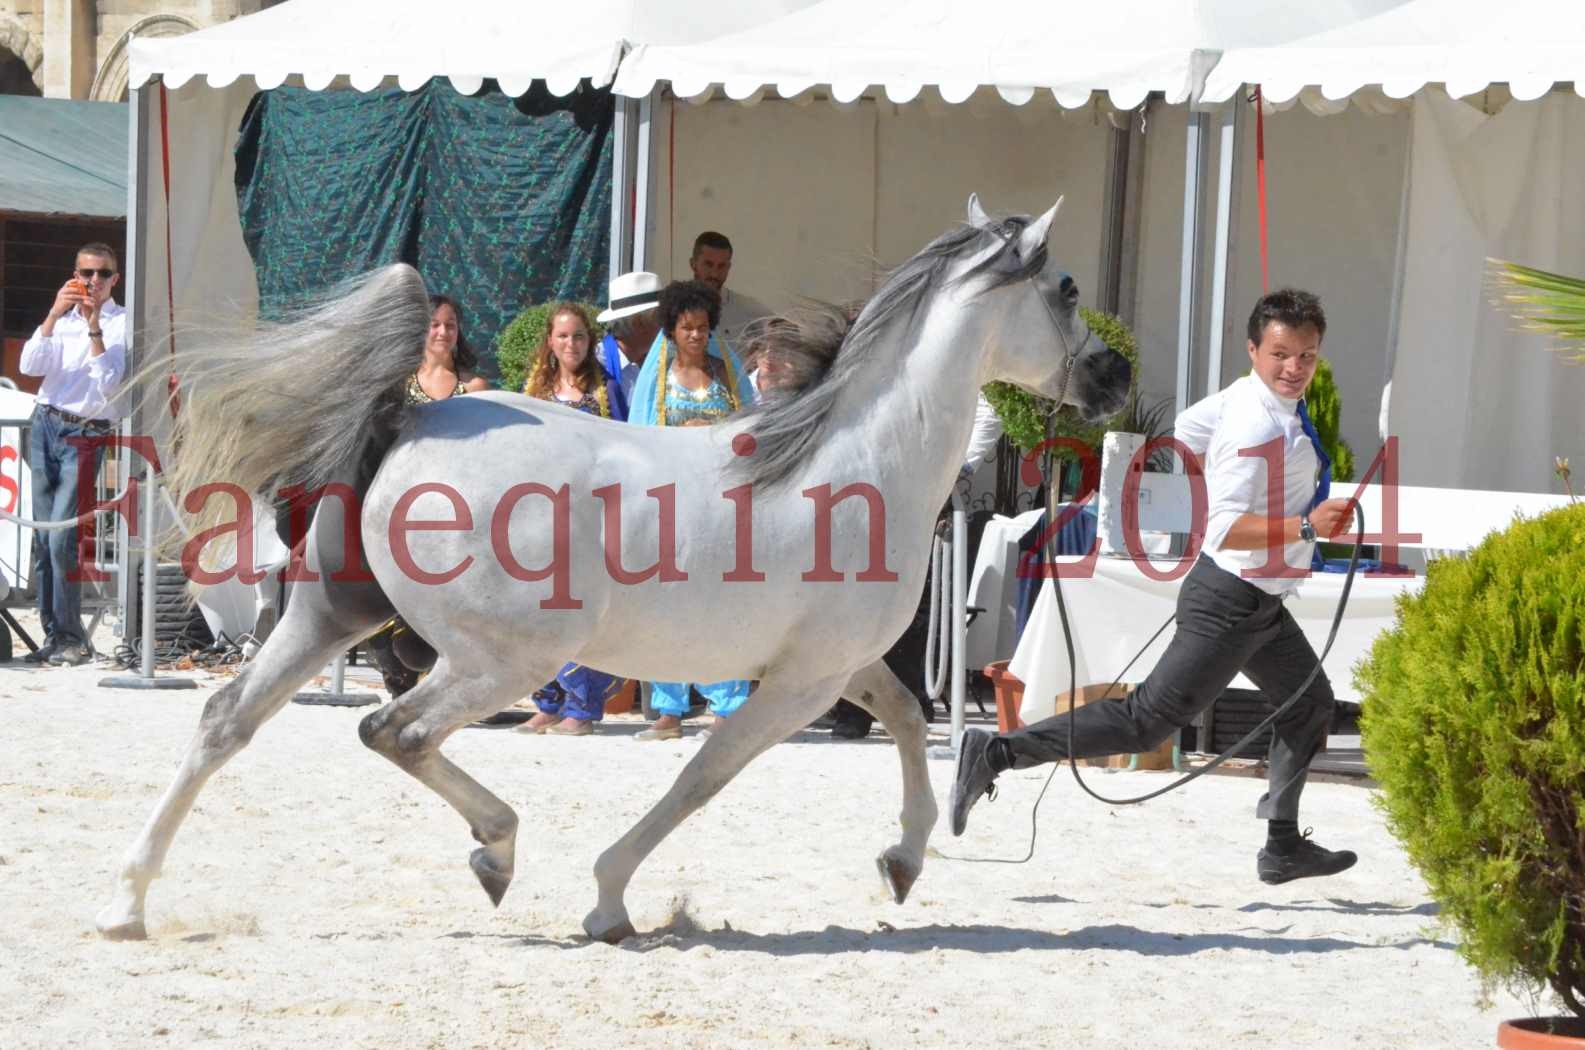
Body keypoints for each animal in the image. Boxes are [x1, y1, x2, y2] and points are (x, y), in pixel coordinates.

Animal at [95, 195, 1128, 945]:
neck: (862, 461)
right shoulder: (797, 684)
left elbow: (913, 719)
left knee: (225, 721)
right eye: (1067, 287)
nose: (1113, 378)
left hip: (331, 619)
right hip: (503, 660)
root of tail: (410, 416)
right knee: (394, 730)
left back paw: (127, 905)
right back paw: (496, 854)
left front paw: (904, 863)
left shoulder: (839, 666)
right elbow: (703, 777)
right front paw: (609, 900)